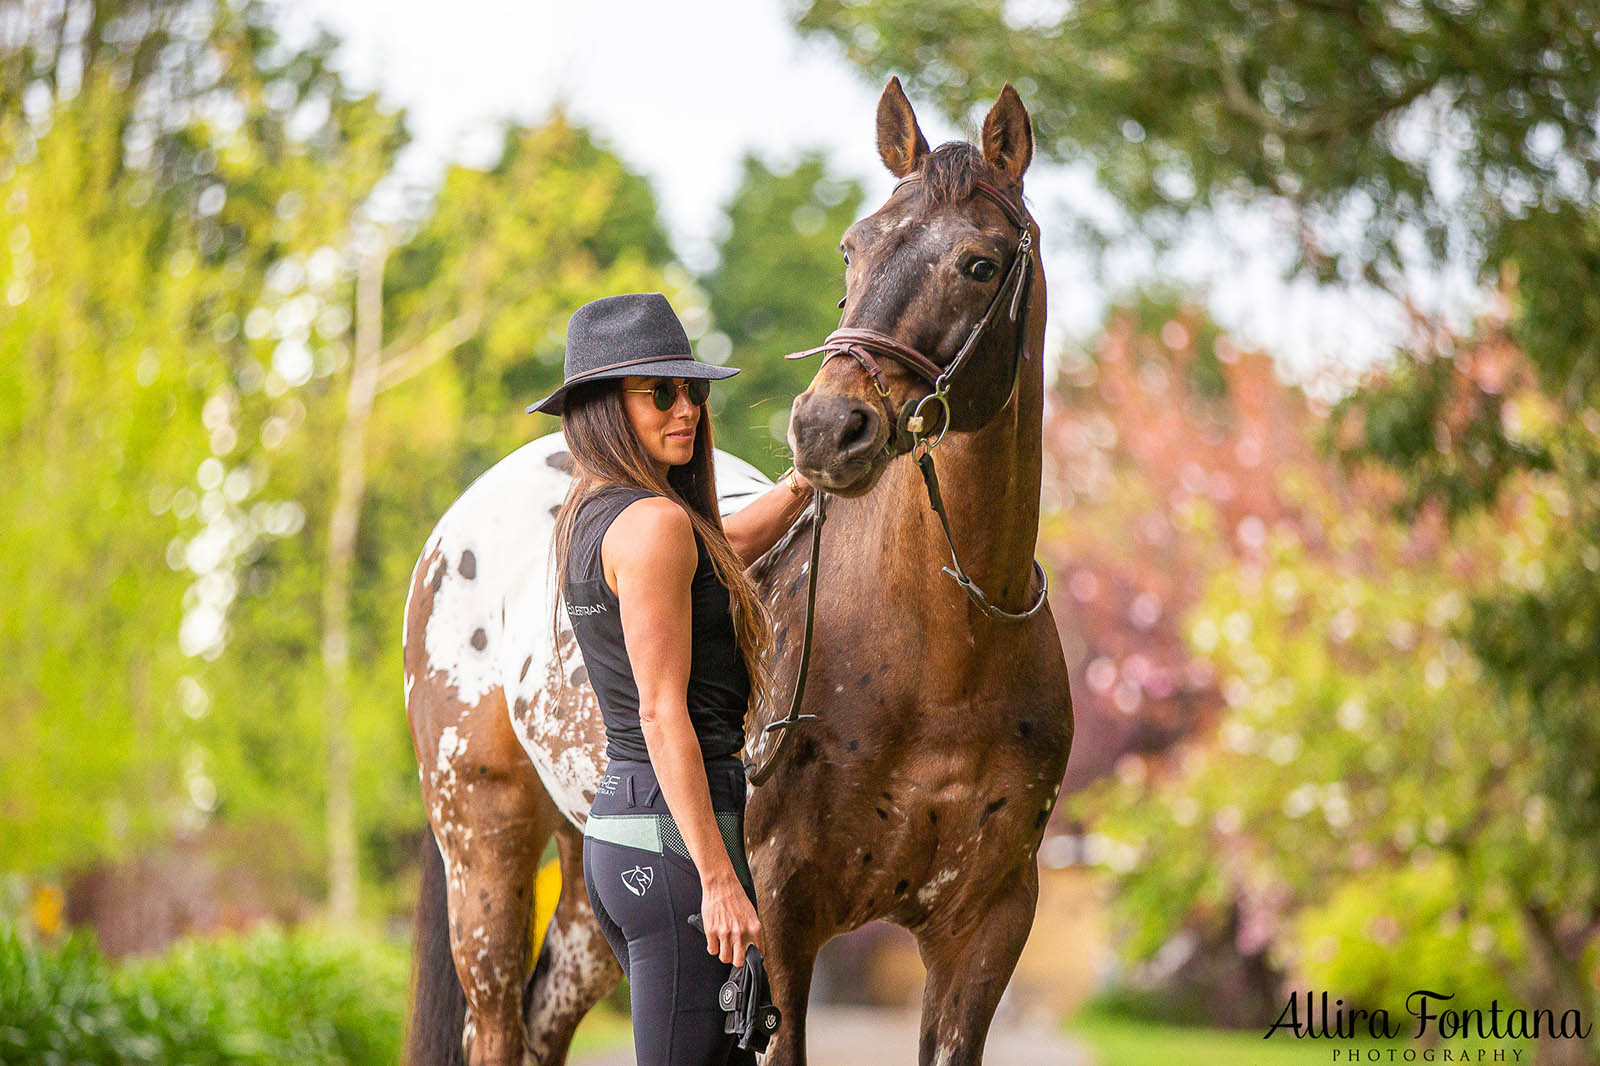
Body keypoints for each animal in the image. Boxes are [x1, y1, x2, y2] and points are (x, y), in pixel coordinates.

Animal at [403, 76, 1075, 1062]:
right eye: (853, 248)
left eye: (981, 264)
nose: (828, 430)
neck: (945, 657)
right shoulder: (782, 929)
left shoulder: (985, 932)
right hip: (483, 849)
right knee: (493, 1024)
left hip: (586, 896)